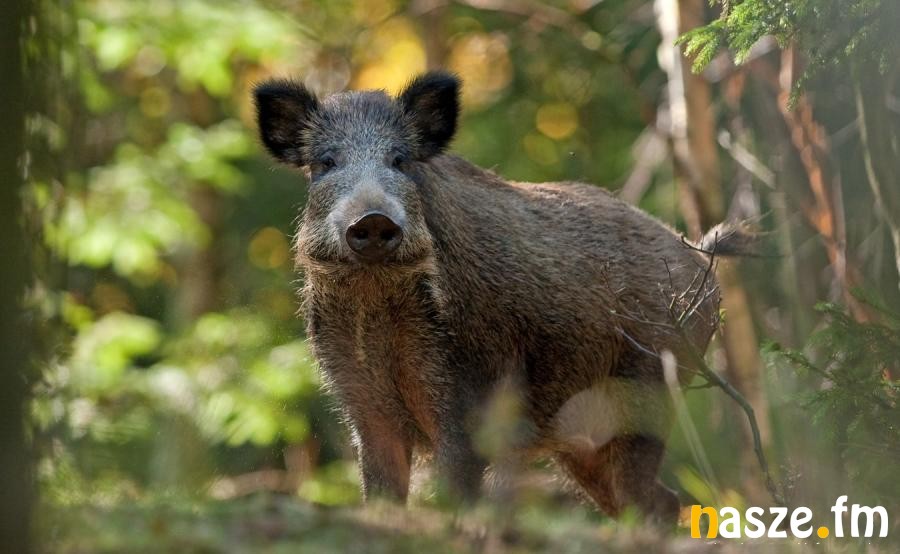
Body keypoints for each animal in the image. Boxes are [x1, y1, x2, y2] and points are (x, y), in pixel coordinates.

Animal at [253, 71, 743, 525]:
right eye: (326, 161)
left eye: (399, 159)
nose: (372, 218)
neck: (374, 303)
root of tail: (698, 258)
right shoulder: (362, 404)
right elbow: (381, 493)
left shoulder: (465, 394)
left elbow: (456, 490)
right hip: (585, 439)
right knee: (656, 498)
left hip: (651, 391)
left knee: (647, 495)